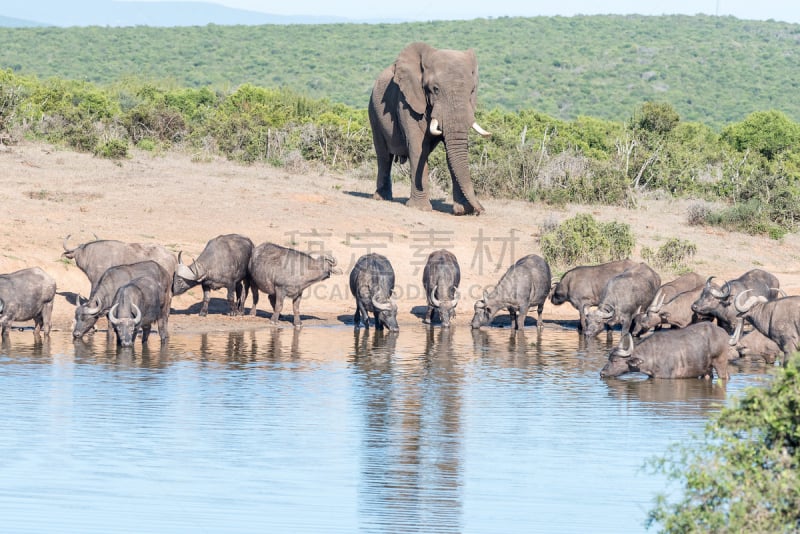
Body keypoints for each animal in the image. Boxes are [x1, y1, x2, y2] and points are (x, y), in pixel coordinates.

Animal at [368, 42, 490, 217]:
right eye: (435, 89)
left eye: (472, 90)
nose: (481, 210)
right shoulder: (406, 101)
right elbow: (418, 148)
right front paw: (420, 208)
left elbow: (451, 152)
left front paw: (462, 211)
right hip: (373, 111)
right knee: (384, 156)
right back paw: (382, 198)